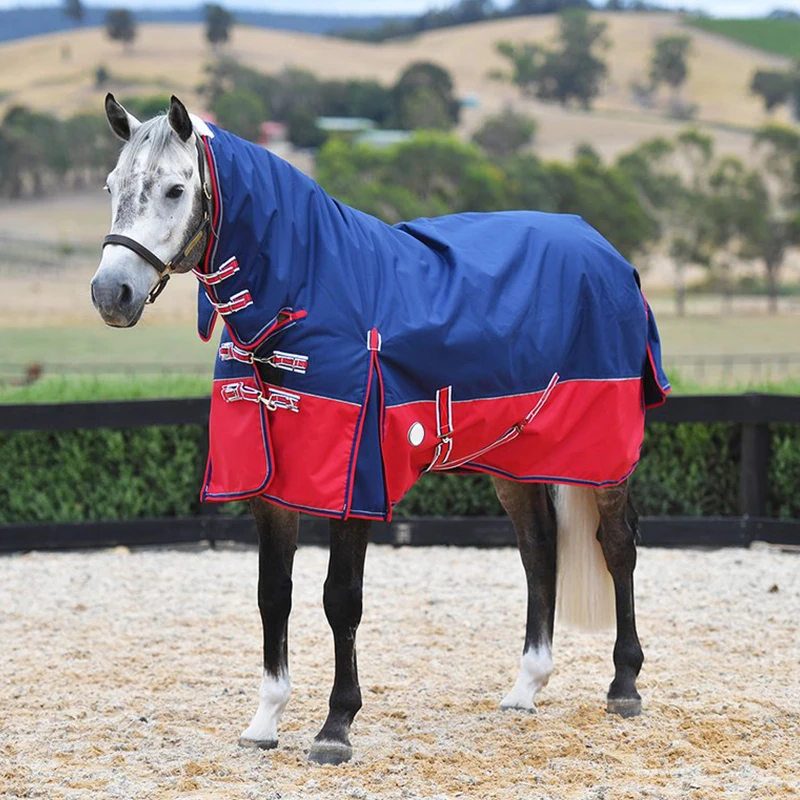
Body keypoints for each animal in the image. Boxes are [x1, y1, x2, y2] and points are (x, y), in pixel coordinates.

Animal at [91, 95, 669, 766]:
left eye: (175, 189)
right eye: (112, 186)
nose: (111, 293)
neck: (306, 296)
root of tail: (607, 253)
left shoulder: (354, 482)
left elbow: (340, 597)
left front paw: (335, 726)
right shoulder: (272, 486)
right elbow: (273, 594)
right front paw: (265, 720)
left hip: (604, 454)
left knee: (617, 545)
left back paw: (624, 685)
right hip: (516, 458)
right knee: (539, 550)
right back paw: (526, 686)